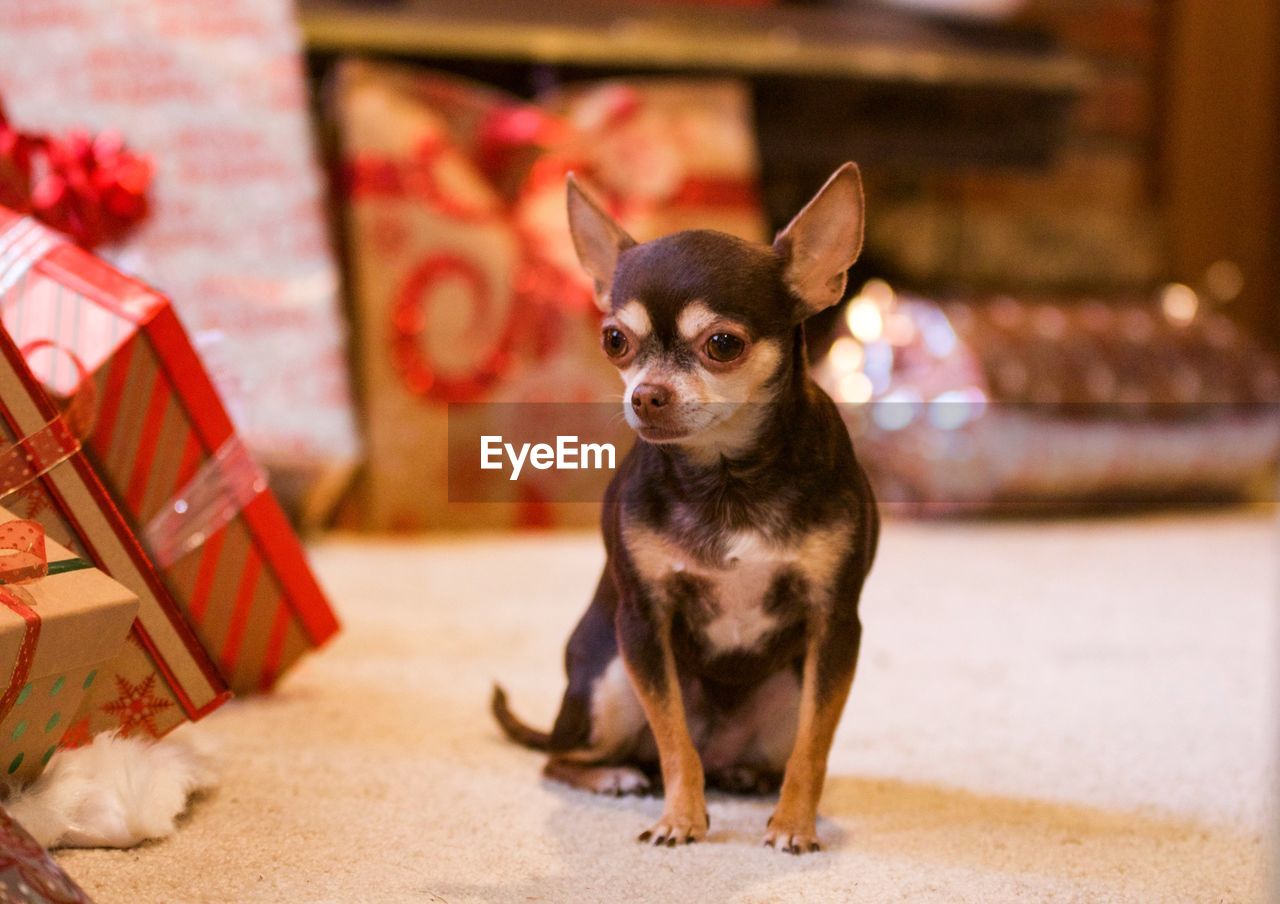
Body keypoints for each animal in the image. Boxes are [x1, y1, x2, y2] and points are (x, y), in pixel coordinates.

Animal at [491, 163, 880, 850]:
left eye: (723, 344)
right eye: (614, 340)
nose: (646, 395)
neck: (727, 478)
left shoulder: (835, 627)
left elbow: (814, 747)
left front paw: (793, 825)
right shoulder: (645, 625)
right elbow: (674, 739)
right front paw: (680, 819)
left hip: (786, 689)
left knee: (756, 753)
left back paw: (750, 778)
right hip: (610, 682)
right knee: (567, 758)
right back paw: (615, 776)